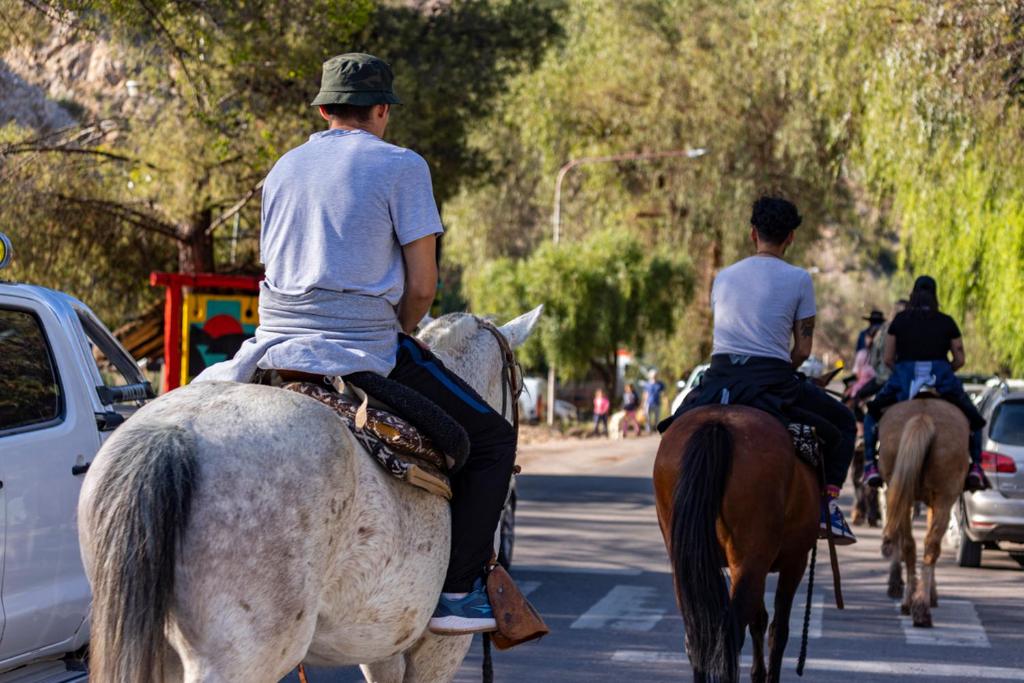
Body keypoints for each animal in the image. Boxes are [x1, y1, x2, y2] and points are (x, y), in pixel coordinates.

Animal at [654, 405, 819, 683]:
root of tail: (717, 423)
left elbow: (759, 620)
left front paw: (758, 674)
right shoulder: (795, 561)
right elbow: (778, 630)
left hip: (690, 562)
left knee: (700, 636)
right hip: (752, 556)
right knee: (732, 633)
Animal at [878, 397, 968, 627]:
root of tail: (922, 416)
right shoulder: (939, 501)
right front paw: (931, 594)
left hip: (902, 493)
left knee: (908, 544)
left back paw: (908, 601)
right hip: (945, 497)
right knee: (931, 546)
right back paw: (922, 609)